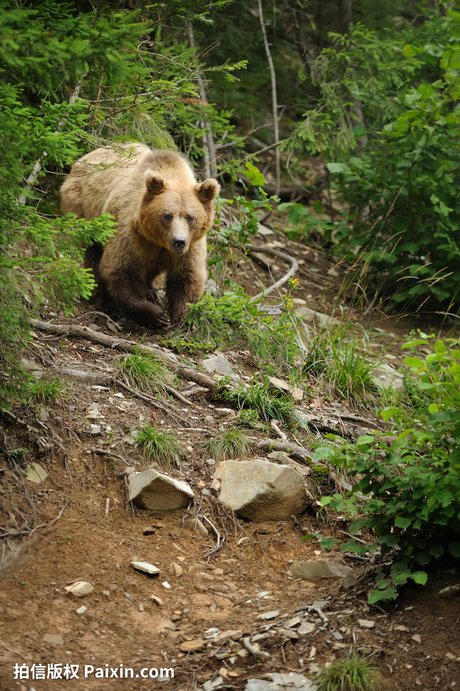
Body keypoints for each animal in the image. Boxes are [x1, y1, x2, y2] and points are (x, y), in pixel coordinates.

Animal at [60, 142, 220, 328]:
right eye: (167, 215)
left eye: (190, 217)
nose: (178, 242)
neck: (159, 241)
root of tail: (87, 155)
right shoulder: (132, 234)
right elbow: (121, 270)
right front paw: (156, 315)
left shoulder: (191, 246)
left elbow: (187, 277)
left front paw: (182, 318)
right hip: (83, 210)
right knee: (91, 252)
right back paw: (99, 295)